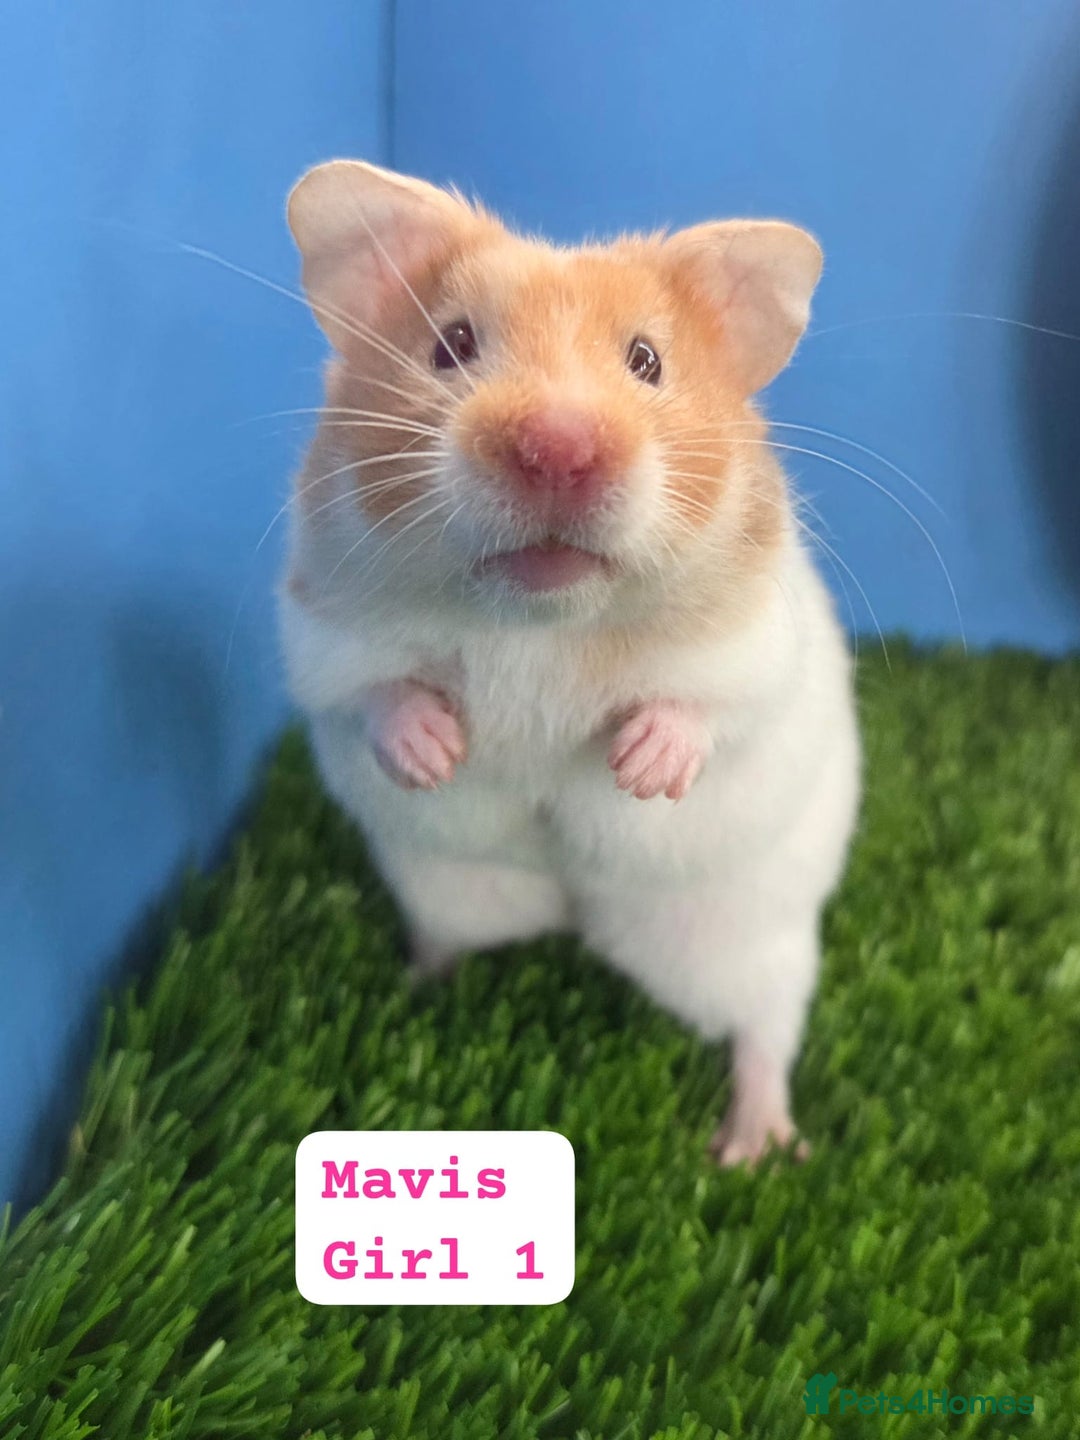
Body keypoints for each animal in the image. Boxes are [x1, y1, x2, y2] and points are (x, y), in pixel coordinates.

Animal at [279, 160, 860, 1166]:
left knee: (766, 1030)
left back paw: (751, 1149)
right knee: (452, 933)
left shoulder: (762, 648)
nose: (557, 447)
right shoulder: (321, 628)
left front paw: (640, 770)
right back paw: (416, 984)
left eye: (647, 361)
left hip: (746, 942)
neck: (541, 621)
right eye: (451, 345)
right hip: (453, 891)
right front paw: (438, 753)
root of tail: (577, 918)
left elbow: (712, 707)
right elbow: (375, 690)